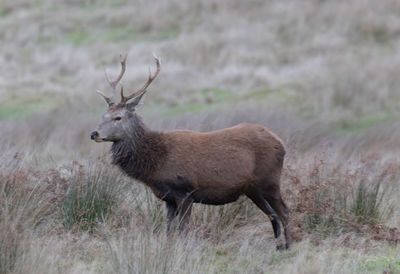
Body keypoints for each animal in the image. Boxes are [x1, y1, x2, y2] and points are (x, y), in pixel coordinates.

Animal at [90, 54, 290, 249]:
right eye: (103, 116)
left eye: (118, 117)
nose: (94, 133)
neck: (156, 163)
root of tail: (280, 143)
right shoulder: (168, 198)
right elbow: (169, 231)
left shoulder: (185, 191)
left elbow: (183, 230)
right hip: (252, 188)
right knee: (272, 214)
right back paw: (278, 245)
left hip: (269, 179)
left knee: (284, 211)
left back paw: (289, 245)